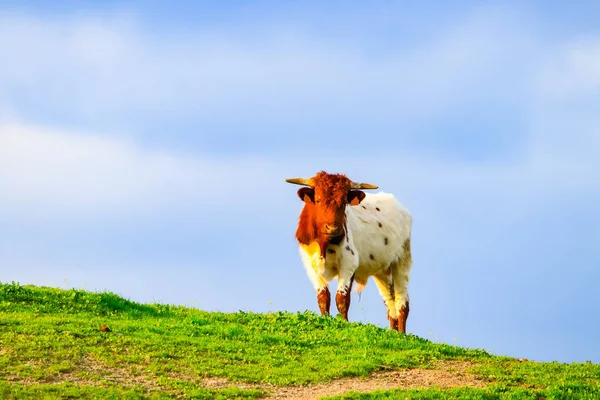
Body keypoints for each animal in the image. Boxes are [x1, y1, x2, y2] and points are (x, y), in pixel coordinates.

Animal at [286, 170, 412, 332]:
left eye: (343, 202)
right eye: (318, 200)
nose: (332, 228)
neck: (324, 244)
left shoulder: (349, 262)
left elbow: (342, 298)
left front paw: (344, 323)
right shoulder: (310, 265)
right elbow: (323, 297)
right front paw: (325, 320)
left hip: (402, 260)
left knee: (402, 302)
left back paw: (402, 333)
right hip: (382, 270)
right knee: (390, 301)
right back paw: (393, 332)